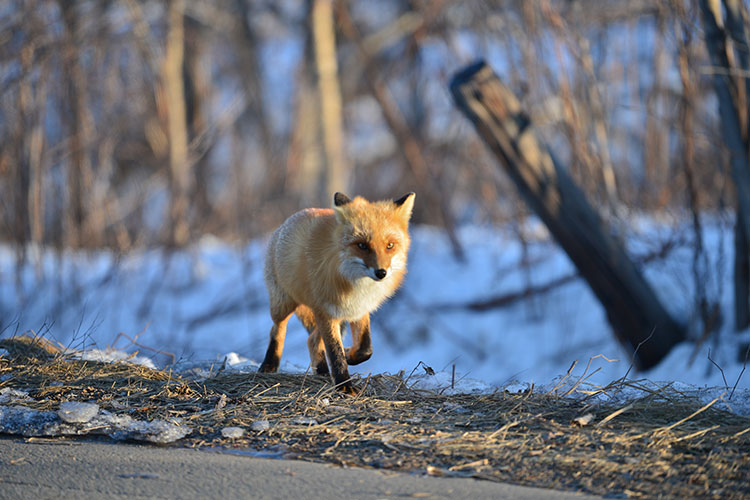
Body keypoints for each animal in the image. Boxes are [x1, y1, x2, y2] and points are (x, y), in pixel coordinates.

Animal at [260, 193, 418, 392]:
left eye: (390, 245)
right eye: (362, 245)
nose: (381, 273)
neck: (356, 283)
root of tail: (285, 223)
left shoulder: (359, 309)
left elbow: (365, 348)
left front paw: (349, 355)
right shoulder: (326, 312)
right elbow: (335, 353)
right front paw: (345, 387)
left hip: (334, 318)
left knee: (312, 341)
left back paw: (322, 371)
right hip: (284, 304)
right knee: (277, 329)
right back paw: (270, 364)